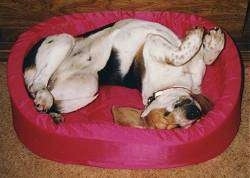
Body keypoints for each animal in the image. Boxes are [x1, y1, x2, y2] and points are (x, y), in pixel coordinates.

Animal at [23, 19, 225, 128]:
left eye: (181, 128)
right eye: (168, 119)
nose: (193, 114)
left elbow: (205, 58)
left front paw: (212, 43)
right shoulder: (153, 43)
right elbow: (181, 54)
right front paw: (202, 37)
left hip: (90, 85)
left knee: (47, 94)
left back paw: (49, 107)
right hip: (64, 41)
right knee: (38, 82)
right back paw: (44, 98)